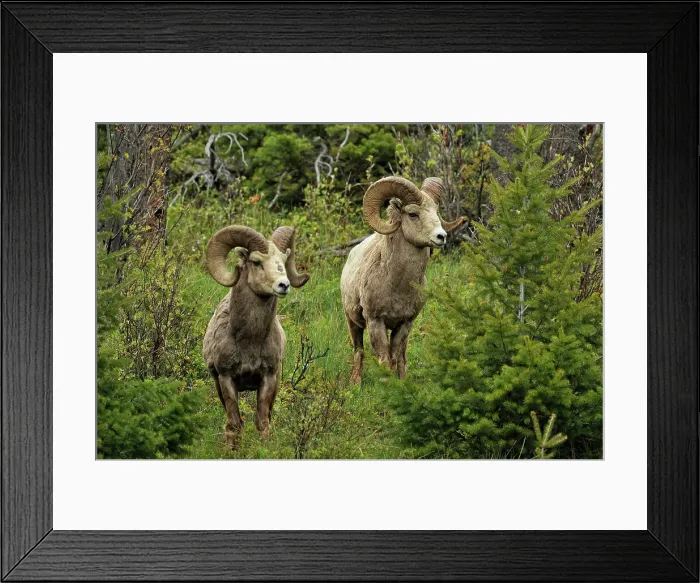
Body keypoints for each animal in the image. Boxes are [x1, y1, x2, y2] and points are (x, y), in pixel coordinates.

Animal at [202, 225, 309, 449]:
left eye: (283, 261)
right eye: (256, 261)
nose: (284, 285)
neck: (249, 341)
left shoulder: (268, 378)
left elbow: (262, 421)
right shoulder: (226, 378)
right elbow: (234, 424)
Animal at [340, 176, 464, 383]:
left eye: (436, 212)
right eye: (413, 214)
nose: (442, 237)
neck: (397, 287)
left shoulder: (405, 323)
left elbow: (396, 357)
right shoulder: (376, 322)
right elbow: (384, 359)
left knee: (401, 357)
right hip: (353, 323)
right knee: (359, 351)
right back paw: (355, 383)